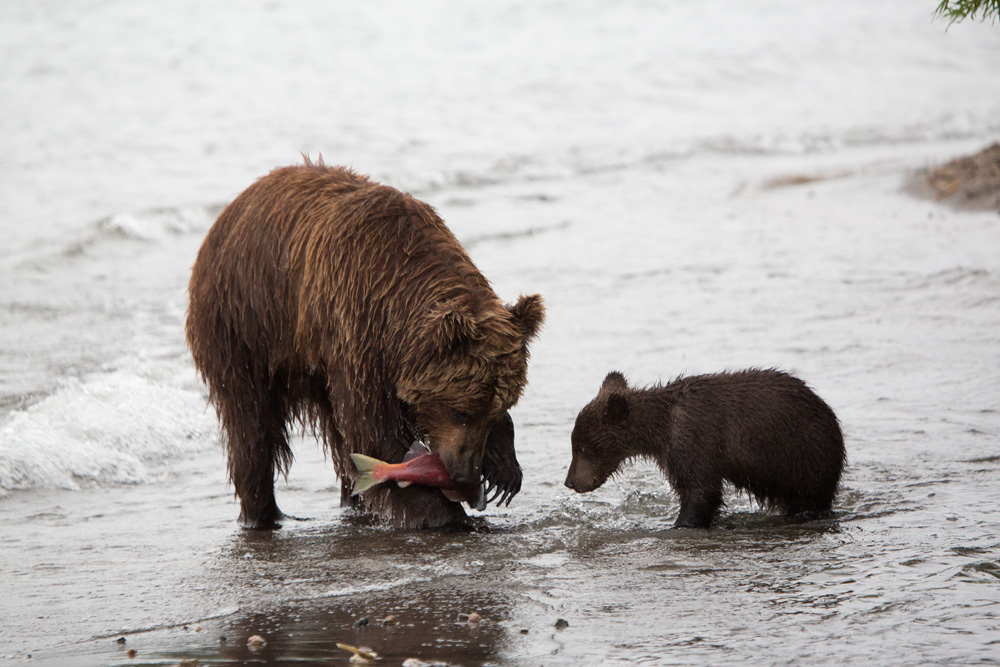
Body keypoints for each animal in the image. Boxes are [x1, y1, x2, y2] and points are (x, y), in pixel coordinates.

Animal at [188, 159, 548, 528]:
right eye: (459, 411)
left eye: (495, 409)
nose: (465, 474)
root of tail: (227, 214)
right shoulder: (359, 331)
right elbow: (374, 431)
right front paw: (444, 513)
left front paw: (504, 470)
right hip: (244, 326)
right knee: (251, 428)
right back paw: (261, 513)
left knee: (335, 435)